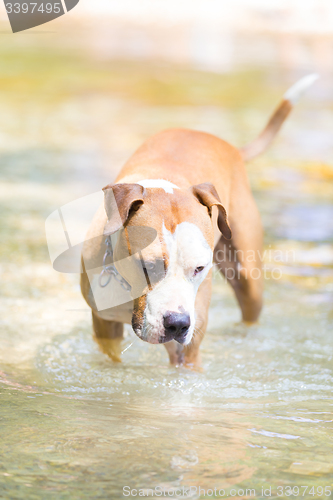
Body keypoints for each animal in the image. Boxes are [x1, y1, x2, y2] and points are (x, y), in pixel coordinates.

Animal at [80, 75, 316, 372]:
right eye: (148, 266)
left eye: (199, 268)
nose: (178, 324)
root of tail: (228, 145)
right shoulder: (104, 325)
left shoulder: (188, 349)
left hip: (247, 277)